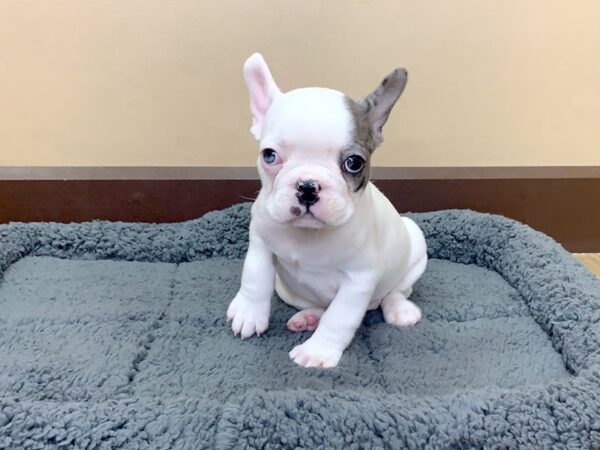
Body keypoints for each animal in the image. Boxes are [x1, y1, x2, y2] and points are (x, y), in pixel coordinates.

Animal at [225, 53, 426, 370]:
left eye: (354, 163)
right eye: (269, 155)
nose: (307, 186)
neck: (308, 234)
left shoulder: (359, 279)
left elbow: (339, 317)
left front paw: (317, 351)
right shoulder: (260, 243)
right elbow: (255, 276)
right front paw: (249, 312)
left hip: (414, 250)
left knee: (393, 293)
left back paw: (400, 311)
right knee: (321, 305)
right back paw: (306, 318)